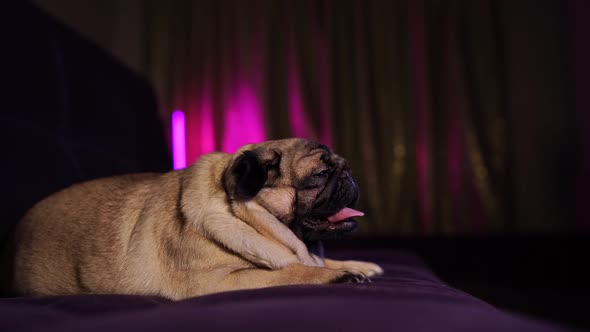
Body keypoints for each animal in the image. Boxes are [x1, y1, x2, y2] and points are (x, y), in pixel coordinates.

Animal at [8, 139, 384, 300]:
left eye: (343, 165)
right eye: (320, 174)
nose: (349, 174)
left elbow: (318, 260)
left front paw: (358, 265)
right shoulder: (216, 281)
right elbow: (291, 271)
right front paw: (339, 275)